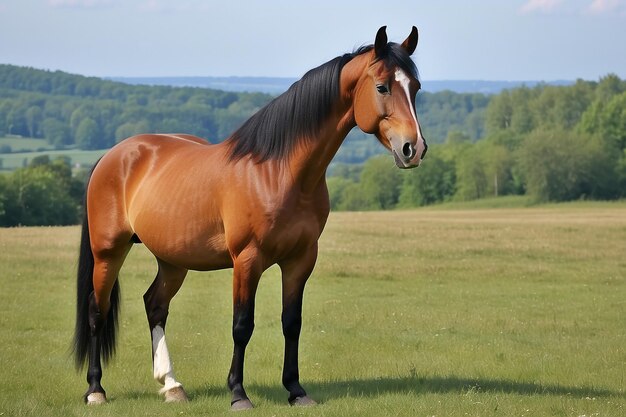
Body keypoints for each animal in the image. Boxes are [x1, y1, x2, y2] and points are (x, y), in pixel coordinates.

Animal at [72, 26, 424, 410]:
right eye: (382, 87)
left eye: (415, 88)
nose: (414, 149)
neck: (279, 171)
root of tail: (113, 154)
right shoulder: (247, 259)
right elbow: (242, 325)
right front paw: (238, 394)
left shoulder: (301, 259)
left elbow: (292, 322)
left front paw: (296, 390)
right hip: (109, 252)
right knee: (97, 310)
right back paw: (95, 390)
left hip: (172, 259)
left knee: (155, 306)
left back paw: (172, 385)